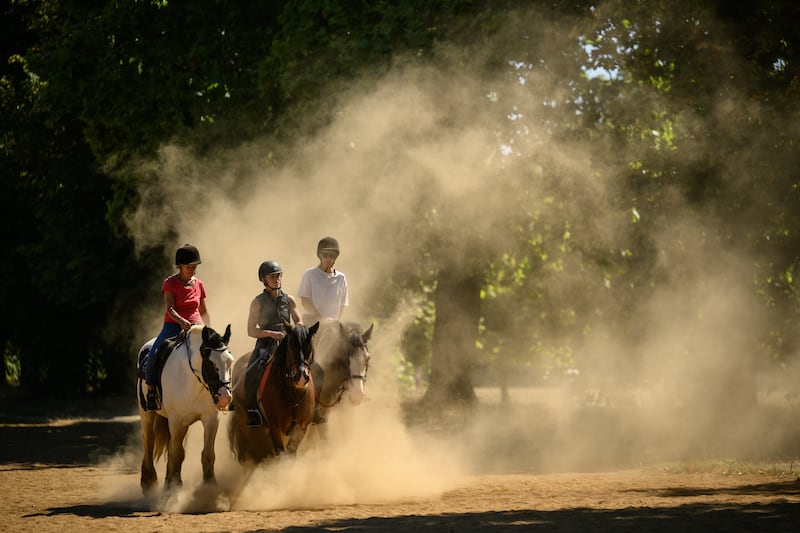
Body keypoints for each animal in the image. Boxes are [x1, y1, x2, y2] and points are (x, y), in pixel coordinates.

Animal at [135, 324, 233, 494]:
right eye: (210, 363)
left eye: (230, 362)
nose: (224, 397)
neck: (193, 380)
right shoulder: (177, 421)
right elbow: (177, 453)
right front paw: (173, 485)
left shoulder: (211, 419)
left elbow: (207, 454)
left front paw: (210, 486)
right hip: (147, 413)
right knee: (149, 440)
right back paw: (148, 481)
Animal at [227, 322, 318, 464]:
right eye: (291, 347)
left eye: (310, 348)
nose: (302, 378)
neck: (292, 395)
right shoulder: (274, 427)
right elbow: (281, 453)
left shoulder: (301, 426)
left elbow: (291, 452)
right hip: (244, 423)